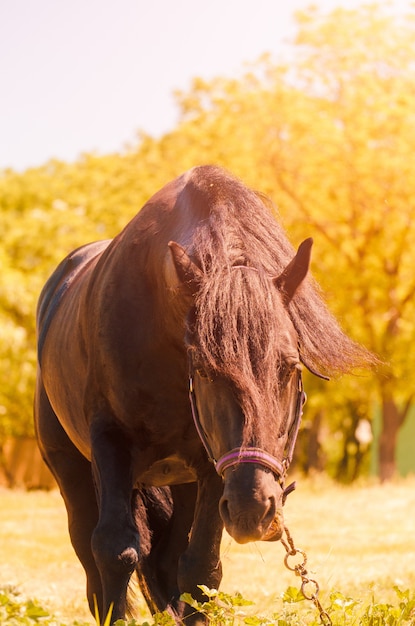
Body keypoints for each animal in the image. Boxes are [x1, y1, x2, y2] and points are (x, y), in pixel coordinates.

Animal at [34, 163, 370, 620]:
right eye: (206, 369)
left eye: (290, 368)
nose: (254, 508)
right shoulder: (110, 442)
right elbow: (115, 551)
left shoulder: (212, 467)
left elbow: (200, 572)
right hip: (70, 468)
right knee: (93, 562)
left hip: (186, 483)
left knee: (166, 562)